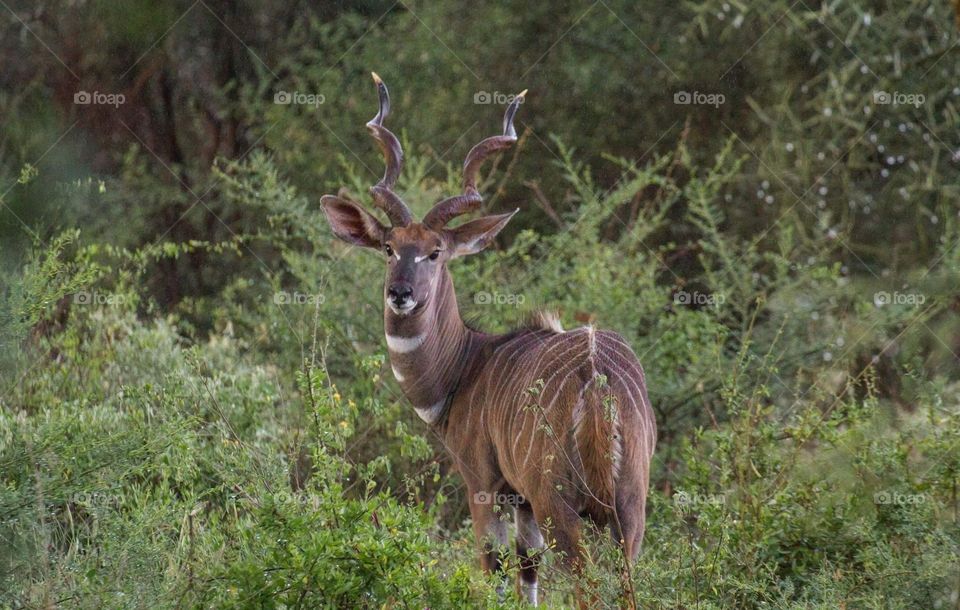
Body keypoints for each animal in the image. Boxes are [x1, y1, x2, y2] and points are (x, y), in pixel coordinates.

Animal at [321, 73, 656, 606]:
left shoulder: (484, 483)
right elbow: (528, 570)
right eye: (390, 247)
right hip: (628, 506)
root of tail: (596, 378)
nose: (400, 294)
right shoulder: (522, 503)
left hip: (560, 503)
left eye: (436, 252)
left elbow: (494, 569)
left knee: (586, 584)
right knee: (625, 583)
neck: (466, 366)